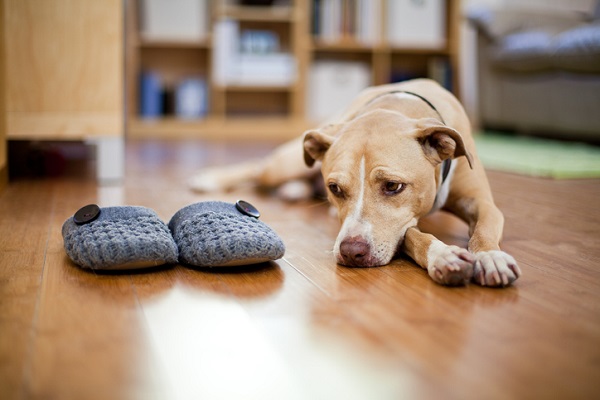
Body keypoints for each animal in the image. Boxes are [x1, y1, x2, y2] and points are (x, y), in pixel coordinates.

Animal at [191, 78, 520, 286]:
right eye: (335, 189)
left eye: (393, 186)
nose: (352, 252)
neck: (397, 107)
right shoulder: (399, 228)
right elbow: (414, 236)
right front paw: (444, 255)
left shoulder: (481, 202)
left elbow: (484, 228)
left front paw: (490, 256)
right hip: (287, 161)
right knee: (257, 168)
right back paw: (210, 178)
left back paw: (294, 189)